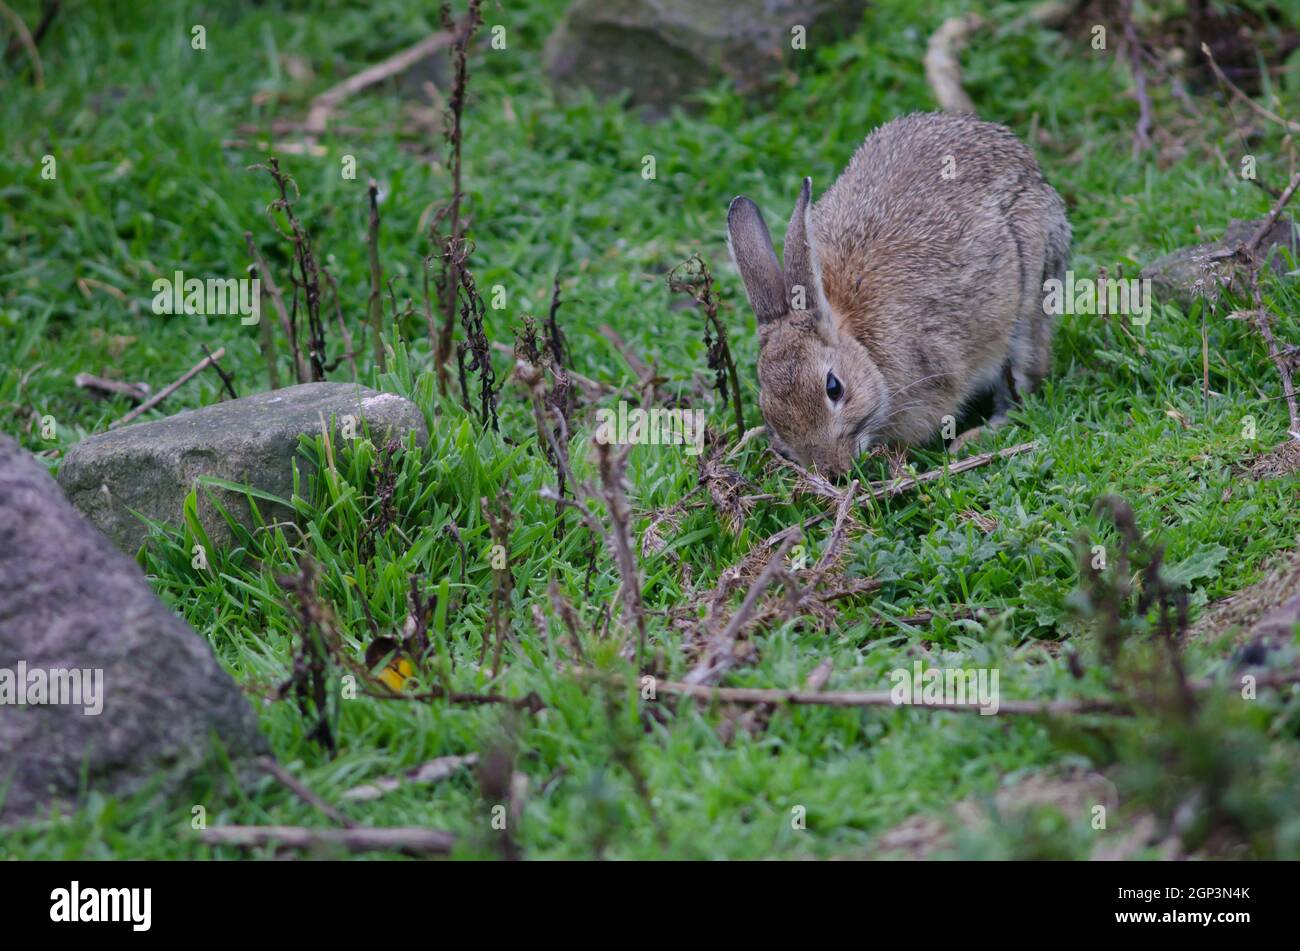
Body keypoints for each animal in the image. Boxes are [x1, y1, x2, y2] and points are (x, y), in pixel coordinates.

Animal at [727, 111, 1070, 475]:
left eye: (834, 388)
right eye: (767, 408)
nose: (833, 471)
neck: (862, 345)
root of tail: (1030, 167)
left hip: (1030, 300)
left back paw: (975, 437)